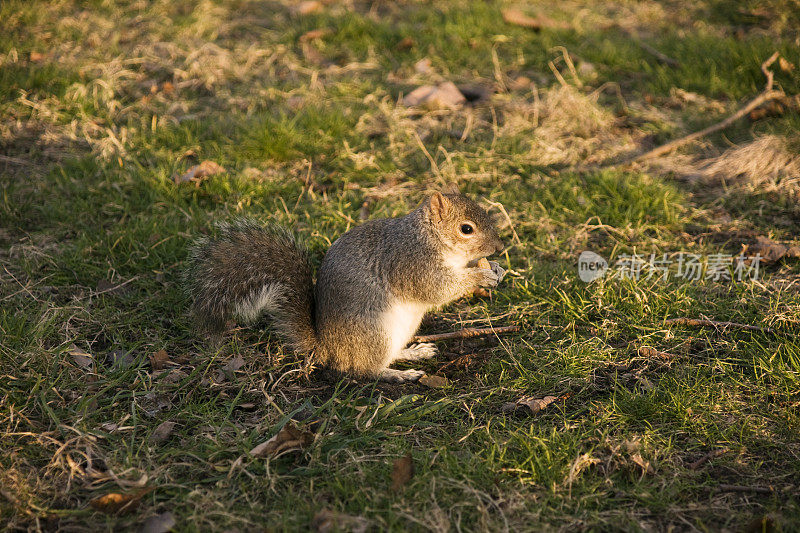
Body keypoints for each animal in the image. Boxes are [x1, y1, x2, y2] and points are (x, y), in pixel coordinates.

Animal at [186, 191, 506, 382]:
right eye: (466, 229)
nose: (500, 247)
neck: (428, 236)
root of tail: (327, 349)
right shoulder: (410, 263)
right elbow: (435, 289)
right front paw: (477, 277)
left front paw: (496, 269)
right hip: (374, 331)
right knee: (364, 368)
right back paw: (397, 374)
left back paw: (413, 353)